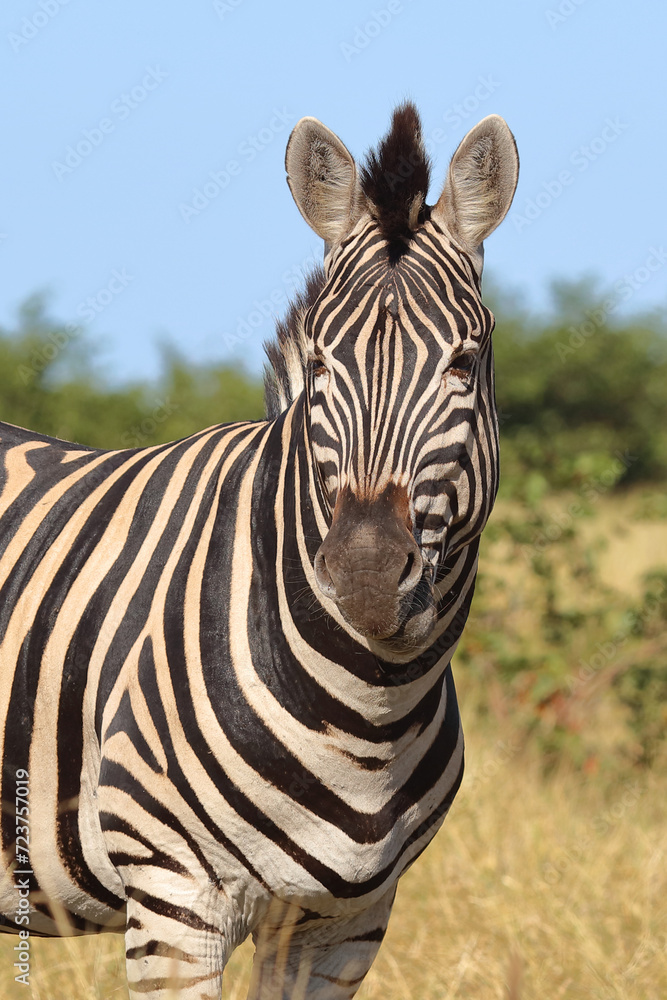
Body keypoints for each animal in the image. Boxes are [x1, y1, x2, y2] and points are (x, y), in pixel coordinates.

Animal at [0, 102, 518, 998]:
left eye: (463, 361)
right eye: (319, 361)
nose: (366, 576)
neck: (367, 715)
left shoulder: (344, 924)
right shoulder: (173, 899)